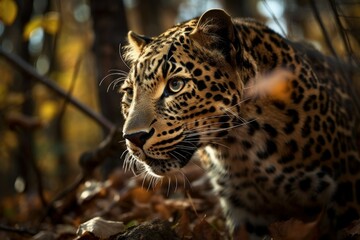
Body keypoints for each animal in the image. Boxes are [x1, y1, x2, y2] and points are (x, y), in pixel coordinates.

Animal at [119, 8, 360, 239]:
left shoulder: (343, 193)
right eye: (130, 93)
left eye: (175, 85)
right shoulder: (245, 212)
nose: (134, 137)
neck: (242, 148)